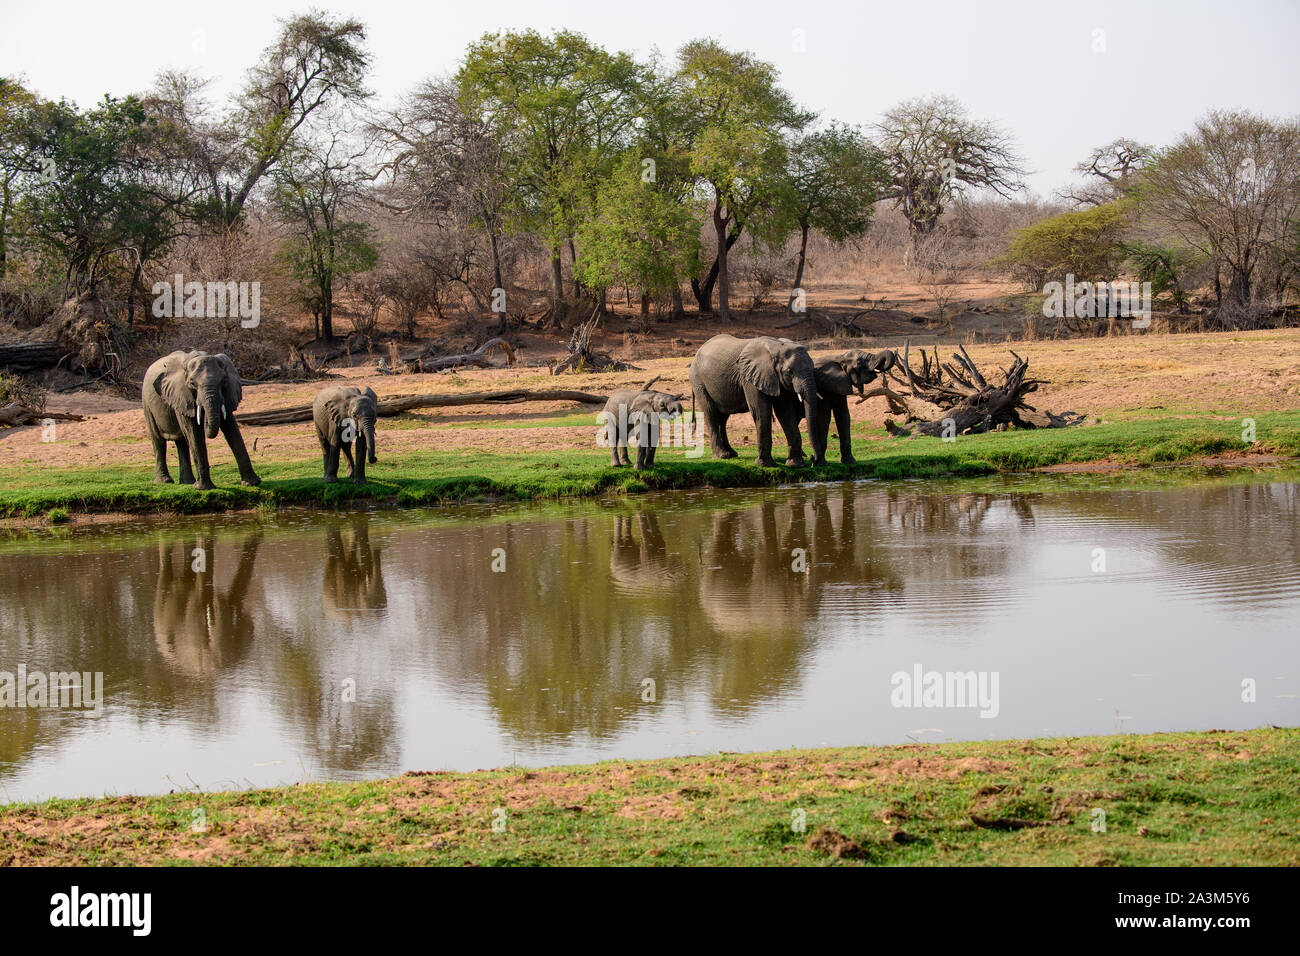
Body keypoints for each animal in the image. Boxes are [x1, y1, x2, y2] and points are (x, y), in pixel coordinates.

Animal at [143, 348, 260, 489]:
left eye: (224, 381)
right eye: (192, 383)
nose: (206, 422)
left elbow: (231, 428)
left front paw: (252, 483)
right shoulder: (182, 395)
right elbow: (194, 433)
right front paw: (204, 488)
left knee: (181, 442)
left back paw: (187, 482)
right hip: (147, 404)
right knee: (158, 440)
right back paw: (165, 481)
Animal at [681, 335, 821, 470]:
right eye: (790, 372)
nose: (812, 459)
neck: (776, 346)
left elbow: (785, 413)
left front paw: (795, 465)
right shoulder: (749, 378)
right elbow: (760, 411)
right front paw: (765, 465)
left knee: (723, 418)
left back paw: (731, 454)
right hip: (698, 382)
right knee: (711, 414)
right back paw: (722, 456)